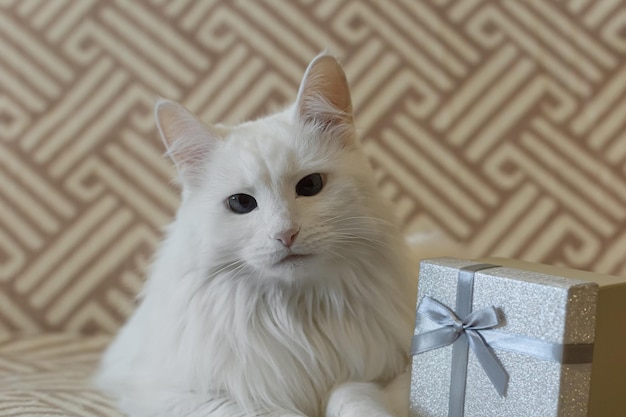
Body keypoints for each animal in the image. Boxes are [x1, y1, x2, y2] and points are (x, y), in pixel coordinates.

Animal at [96, 53, 414, 414]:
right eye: (241, 203)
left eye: (310, 185)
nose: (286, 234)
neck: (296, 320)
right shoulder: (172, 393)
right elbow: (261, 411)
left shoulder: (391, 375)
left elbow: (351, 396)